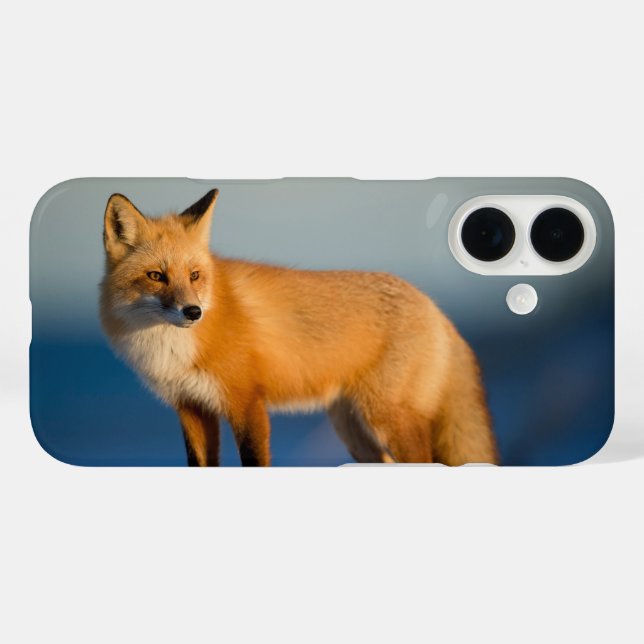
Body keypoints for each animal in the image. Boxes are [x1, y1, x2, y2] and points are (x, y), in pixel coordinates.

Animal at [100, 189, 498, 466]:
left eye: (194, 275)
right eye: (156, 276)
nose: (193, 312)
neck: (172, 348)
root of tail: (434, 306)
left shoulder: (247, 403)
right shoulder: (191, 408)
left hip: (388, 419)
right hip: (354, 430)